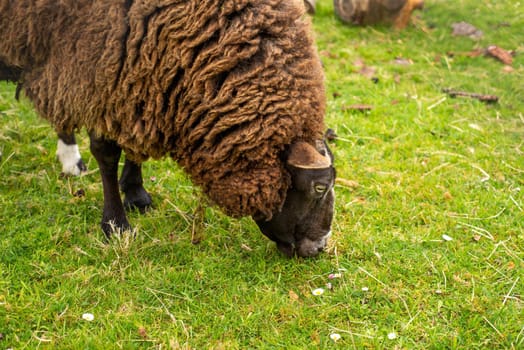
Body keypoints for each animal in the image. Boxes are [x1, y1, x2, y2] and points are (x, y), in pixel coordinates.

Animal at [0, 0, 336, 258]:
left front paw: (135, 192)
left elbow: (133, 142)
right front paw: (116, 224)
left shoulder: (136, 68)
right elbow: (106, 153)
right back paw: (71, 159)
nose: (320, 248)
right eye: (319, 187)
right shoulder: (97, 66)